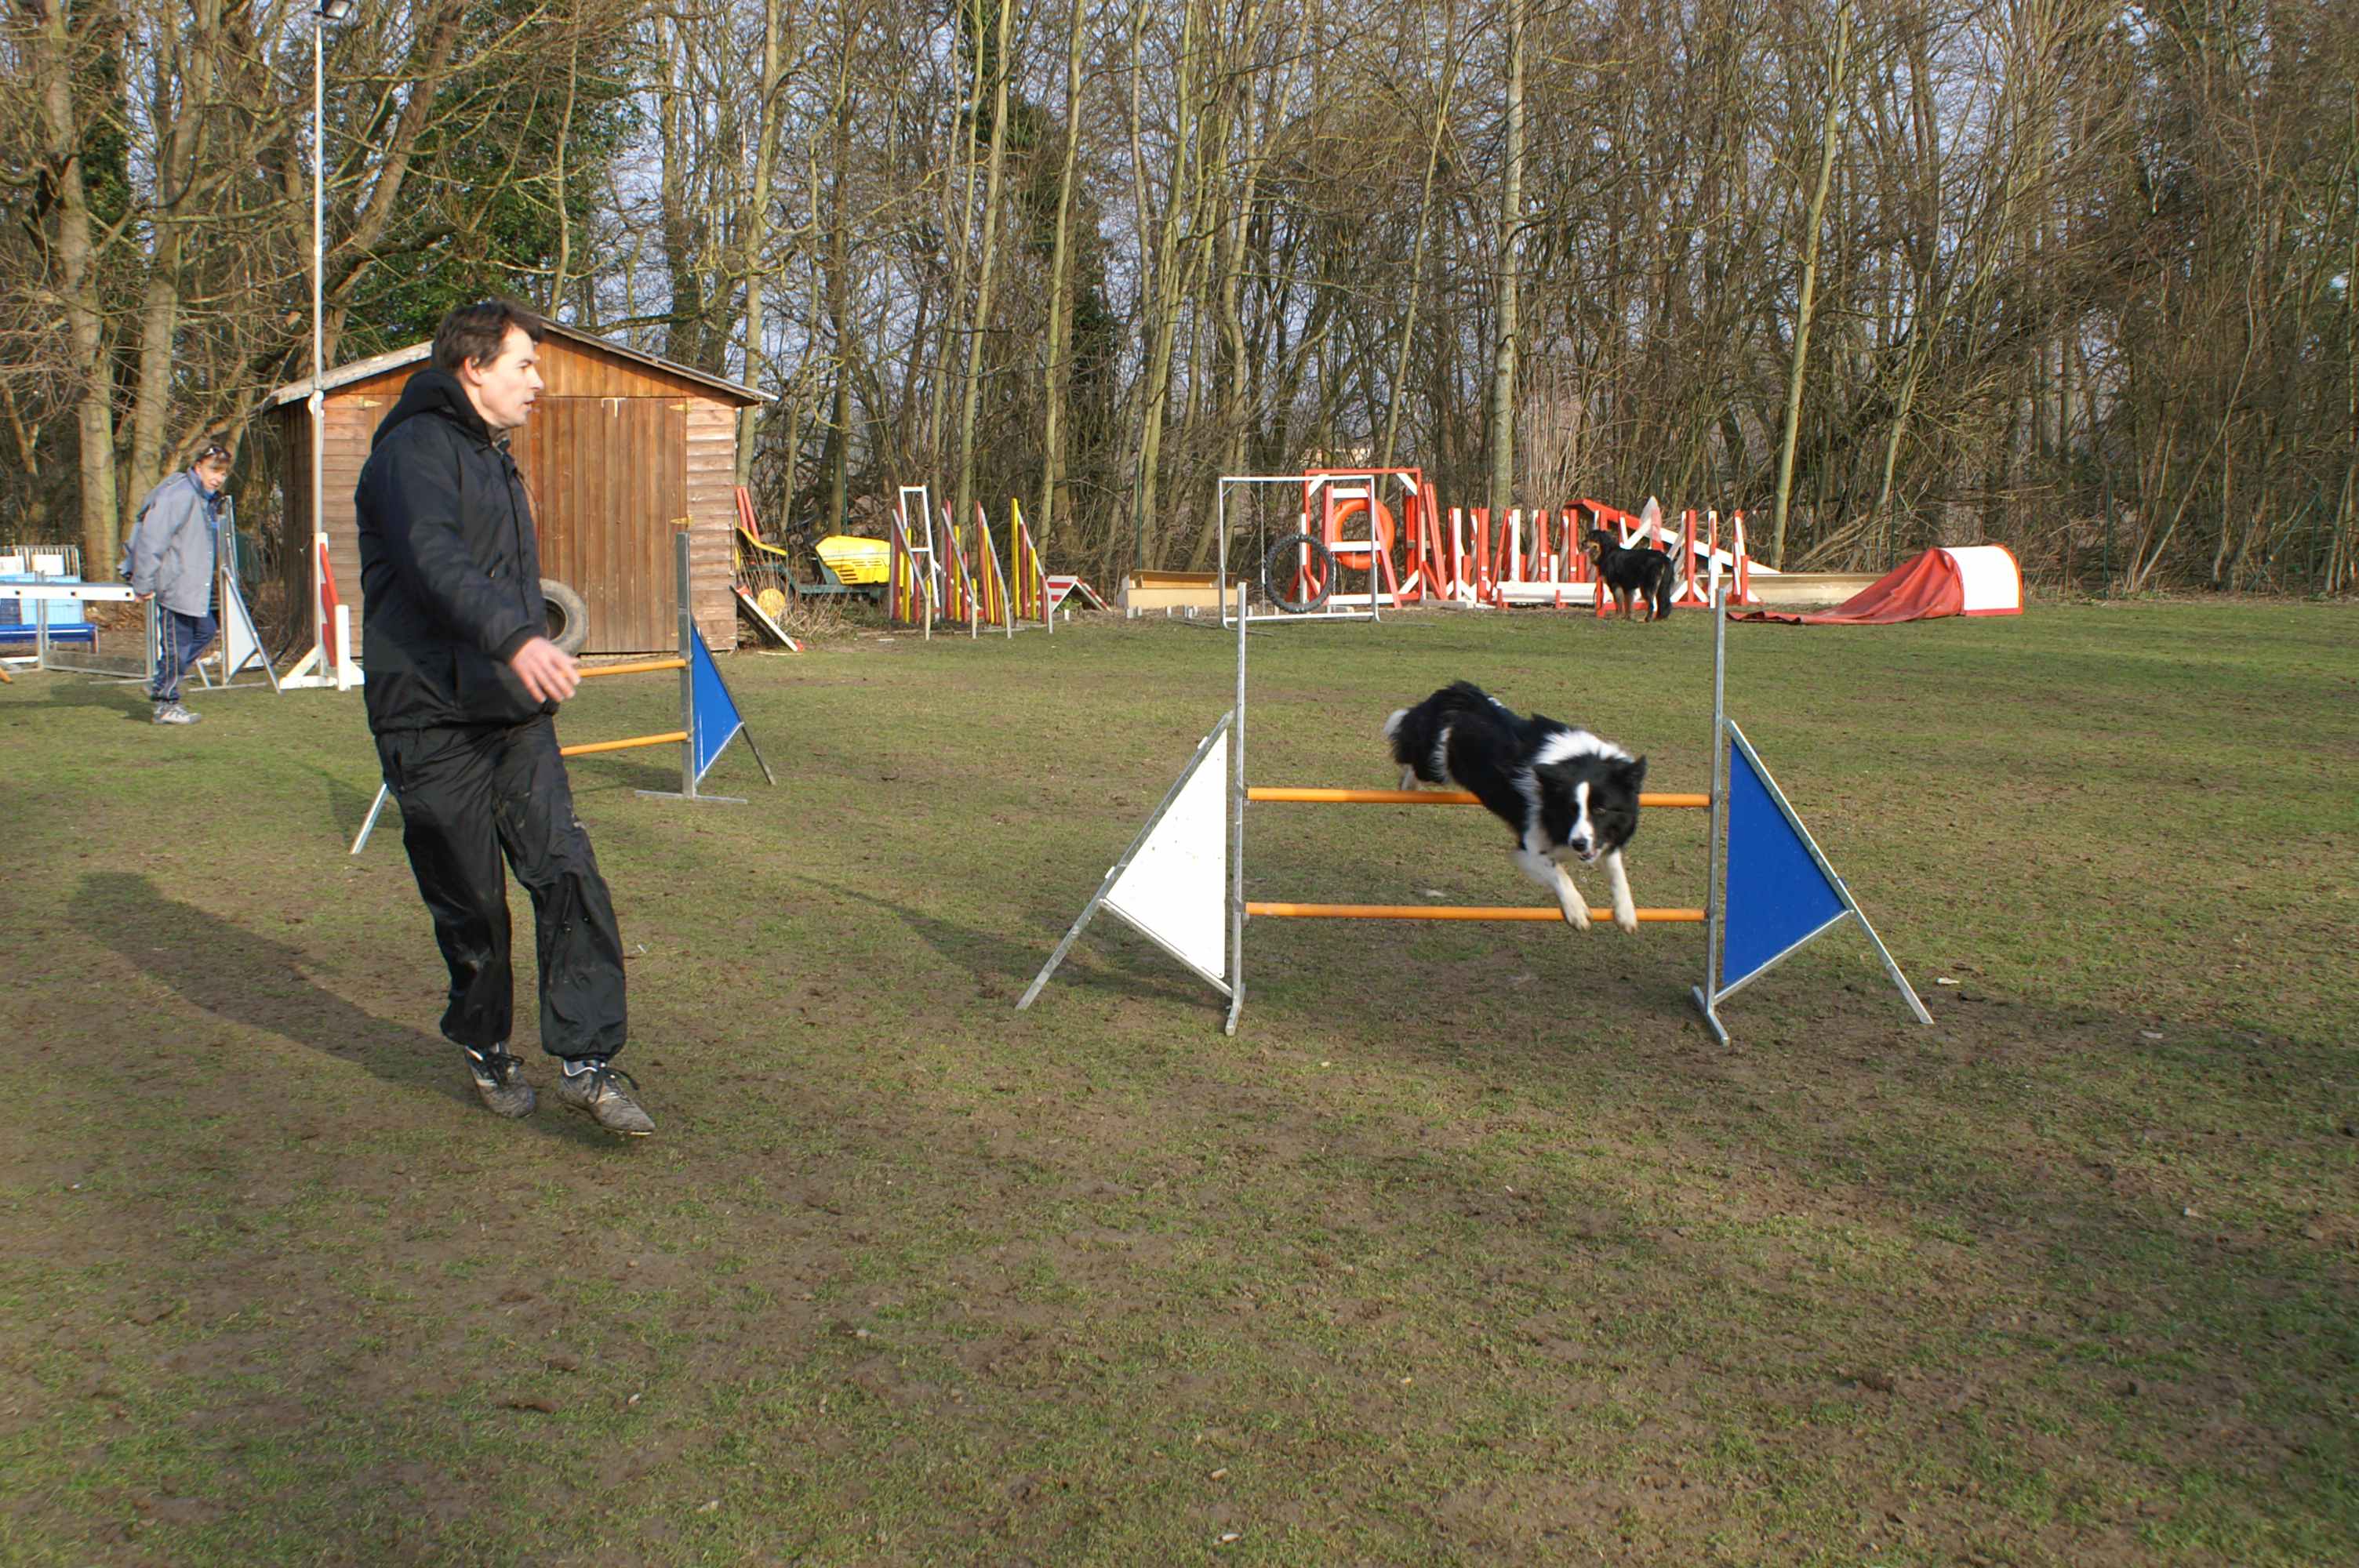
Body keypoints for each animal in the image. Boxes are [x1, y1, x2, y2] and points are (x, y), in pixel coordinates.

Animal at [1384, 681, 1647, 931]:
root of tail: (1456, 692)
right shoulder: (1530, 844)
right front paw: (1577, 911)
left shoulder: (1602, 838)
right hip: (1434, 763)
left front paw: (1626, 913)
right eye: (1571, 809)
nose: (1578, 844)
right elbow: (1558, 873)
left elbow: (1617, 872)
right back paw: (1408, 784)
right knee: (1407, 747)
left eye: (1601, 810)